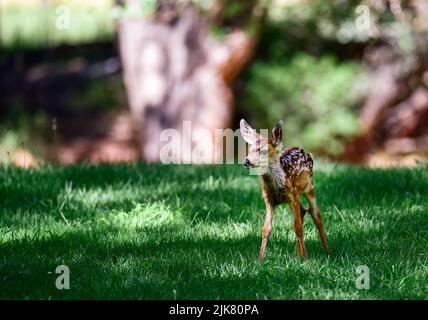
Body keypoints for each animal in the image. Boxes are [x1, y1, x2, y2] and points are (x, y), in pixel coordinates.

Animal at [239, 119, 330, 262]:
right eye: (250, 149)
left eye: (263, 151)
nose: (246, 161)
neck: (276, 186)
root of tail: (305, 150)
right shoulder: (269, 200)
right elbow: (266, 229)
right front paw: (260, 259)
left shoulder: (292, 196)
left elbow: (298, 228)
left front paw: (306, 259)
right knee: (303, 211)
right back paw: (298, 253)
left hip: (309, 189)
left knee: (316, 215)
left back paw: (327, 252)